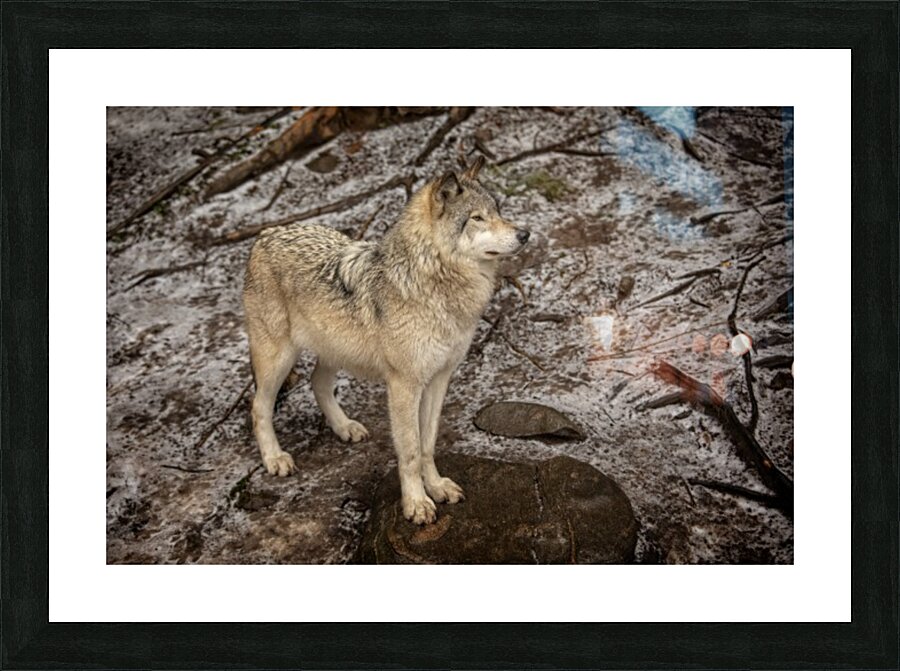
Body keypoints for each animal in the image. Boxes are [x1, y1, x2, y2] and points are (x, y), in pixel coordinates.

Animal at [242, 156, 529, 524]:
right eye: (477, 218)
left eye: (497, 210)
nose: (525, 233)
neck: (434, 281)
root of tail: (265, 235)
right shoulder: (404, 385)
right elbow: (409, 451)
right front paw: (417, 504)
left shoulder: (439, 378)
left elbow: (427, 444)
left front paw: (436, 487)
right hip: (277, 360)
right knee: (259, 407)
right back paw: (275, 458)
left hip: (333, 353)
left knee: (317, 382)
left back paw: (344, 427)